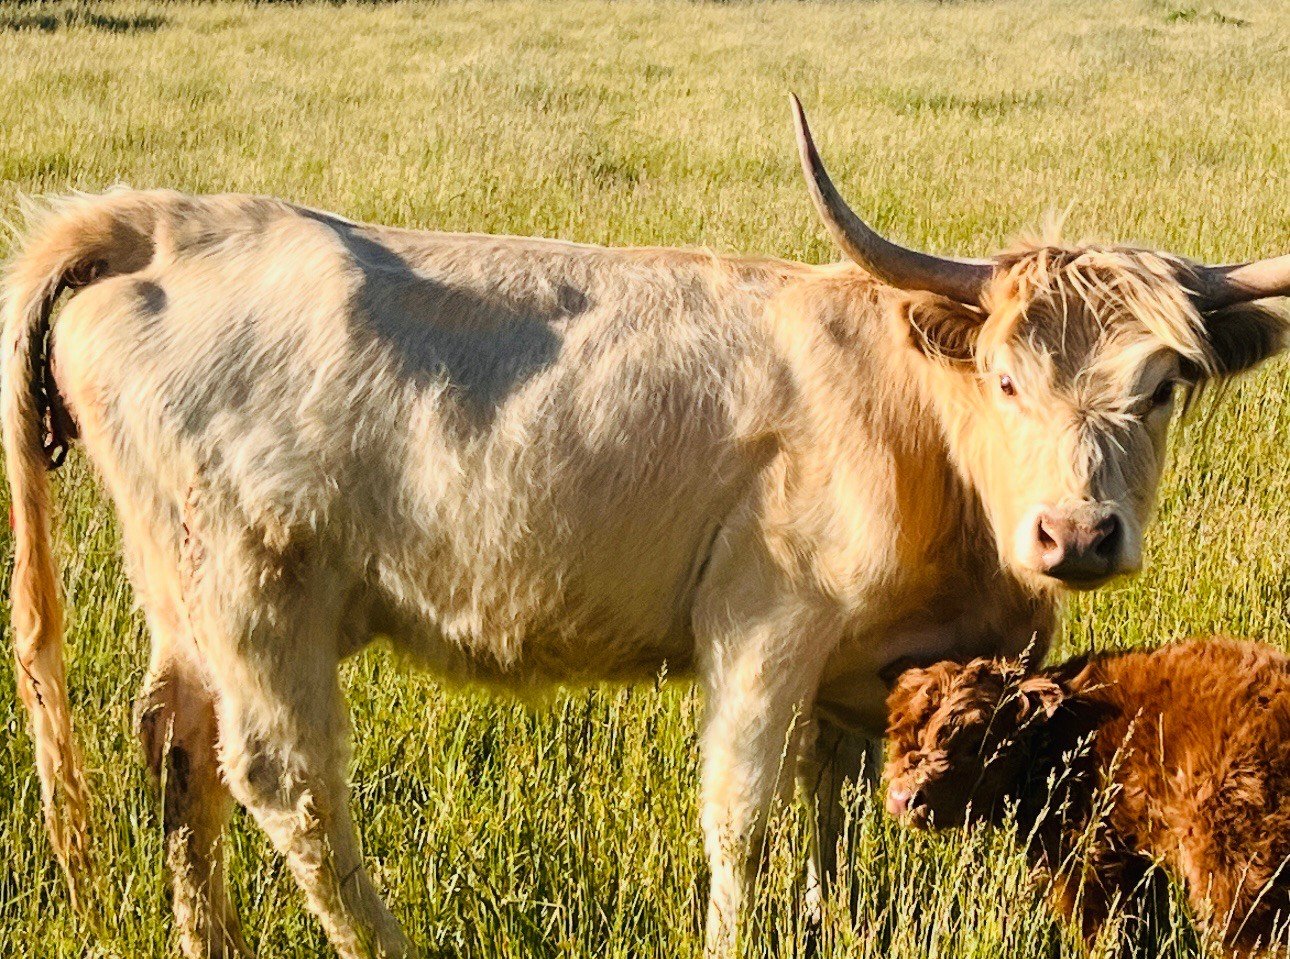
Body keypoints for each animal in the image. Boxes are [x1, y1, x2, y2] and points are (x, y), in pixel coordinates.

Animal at [3, 97, 1287, 958]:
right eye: (1009, 380)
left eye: (1164, 385)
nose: (1077, 534)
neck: (913, 423)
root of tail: (159, 220)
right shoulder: (765, 625)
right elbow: (743, 819)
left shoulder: (856, 674)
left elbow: (829, 818)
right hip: (261, 591)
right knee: (288, 783)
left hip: (184, 590)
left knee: (180, 755)